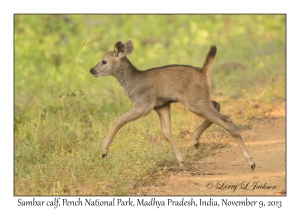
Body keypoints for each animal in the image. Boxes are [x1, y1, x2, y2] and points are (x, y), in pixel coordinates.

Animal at [89, 39, 255, 171]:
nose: (92, 70)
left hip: (194, 101)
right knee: (217, 105)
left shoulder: (144, 105)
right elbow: (166, 132)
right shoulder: (161, 105)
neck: (131, 82)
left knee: (227, 119)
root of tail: (203, 71)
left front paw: (104, 150)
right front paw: (181, 162)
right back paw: (195, 139)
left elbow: (120, 120)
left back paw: (251, 161)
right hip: (199, 98)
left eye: (104, 61)